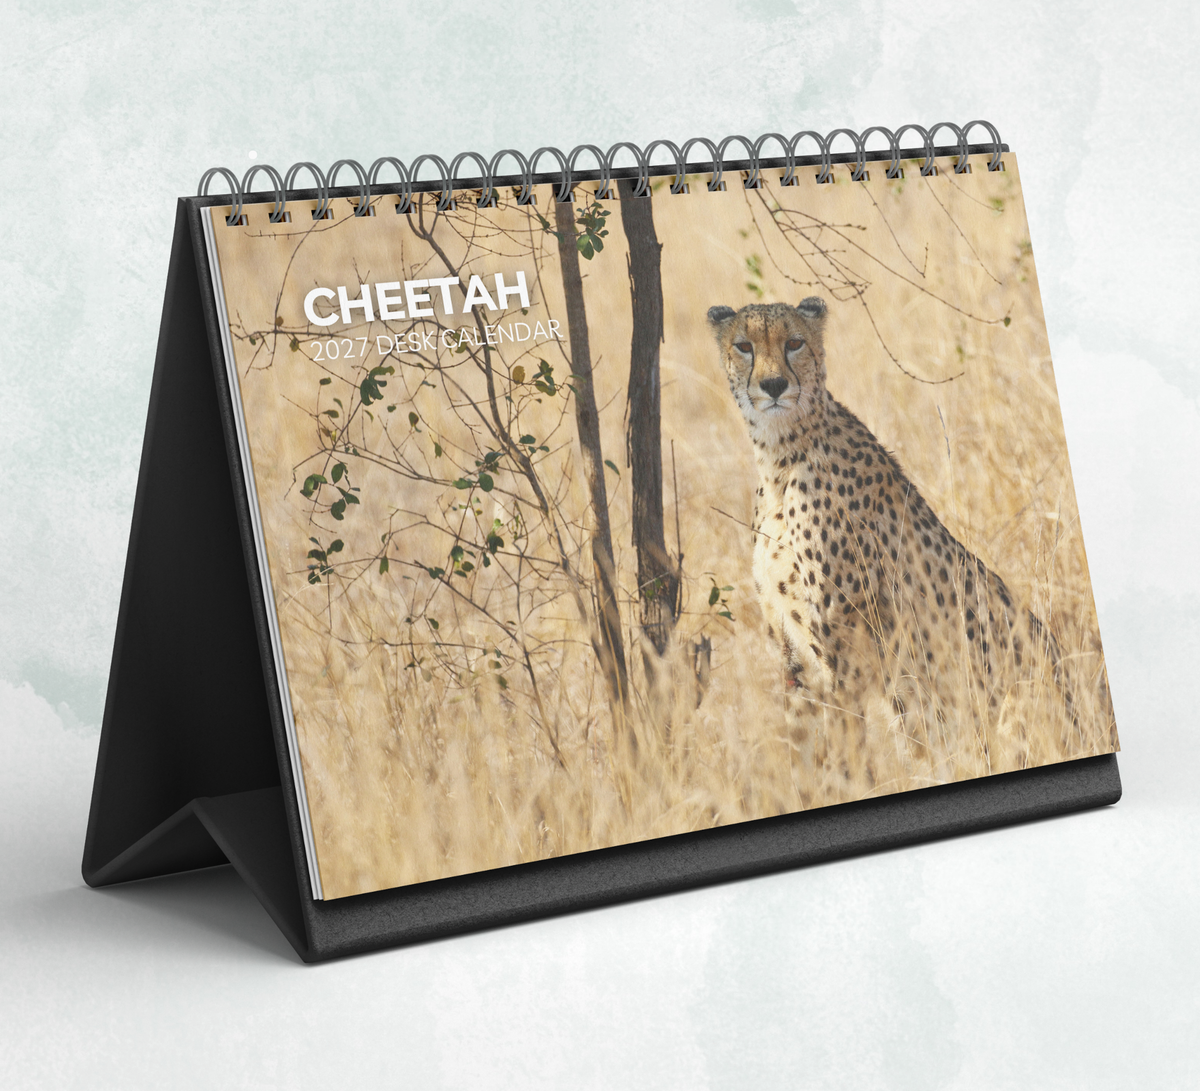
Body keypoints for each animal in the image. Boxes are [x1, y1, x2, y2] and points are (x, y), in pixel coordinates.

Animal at [707, 297, 1075, 802]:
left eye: (794, 342)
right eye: (744, 346)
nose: (774, 385)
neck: (780, 455)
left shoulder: (844, 656)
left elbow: (845, 752)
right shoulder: (795, 658)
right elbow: (804, 758)